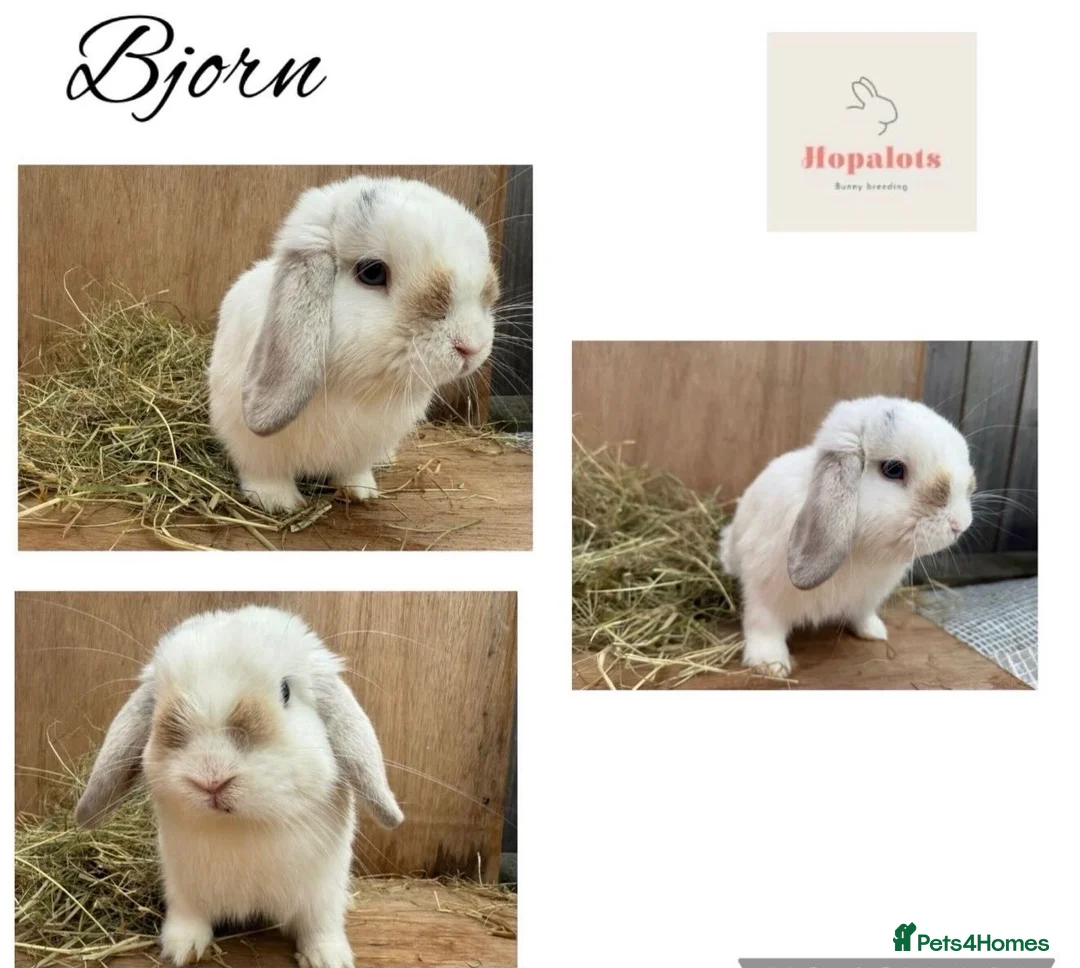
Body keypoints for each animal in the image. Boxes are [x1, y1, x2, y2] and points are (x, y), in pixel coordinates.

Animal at [74, 605, 404, 968]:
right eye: (160, 706)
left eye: (286, 691)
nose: (212, 777)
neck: (241, 827)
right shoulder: (181, 884)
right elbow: (188, 916)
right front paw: (181, 949)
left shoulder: (322, 890)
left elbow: (320, 925)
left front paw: (327, 957)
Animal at [208, 175, 500, 513]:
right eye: (372, 272)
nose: (471, 347)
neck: (357, 386)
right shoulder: (255, 447)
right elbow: (266, 474)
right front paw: (279, 503)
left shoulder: (363, 447)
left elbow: (353, 470)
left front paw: (362, 491)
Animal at [718, 397, 975, 677]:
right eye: (893, 469)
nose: (960, 523)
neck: (864, 550)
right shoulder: (764, 593)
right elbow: (764, 627)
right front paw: (770, 665)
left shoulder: (867, 599)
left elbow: (862, 615)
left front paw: (875, 632)